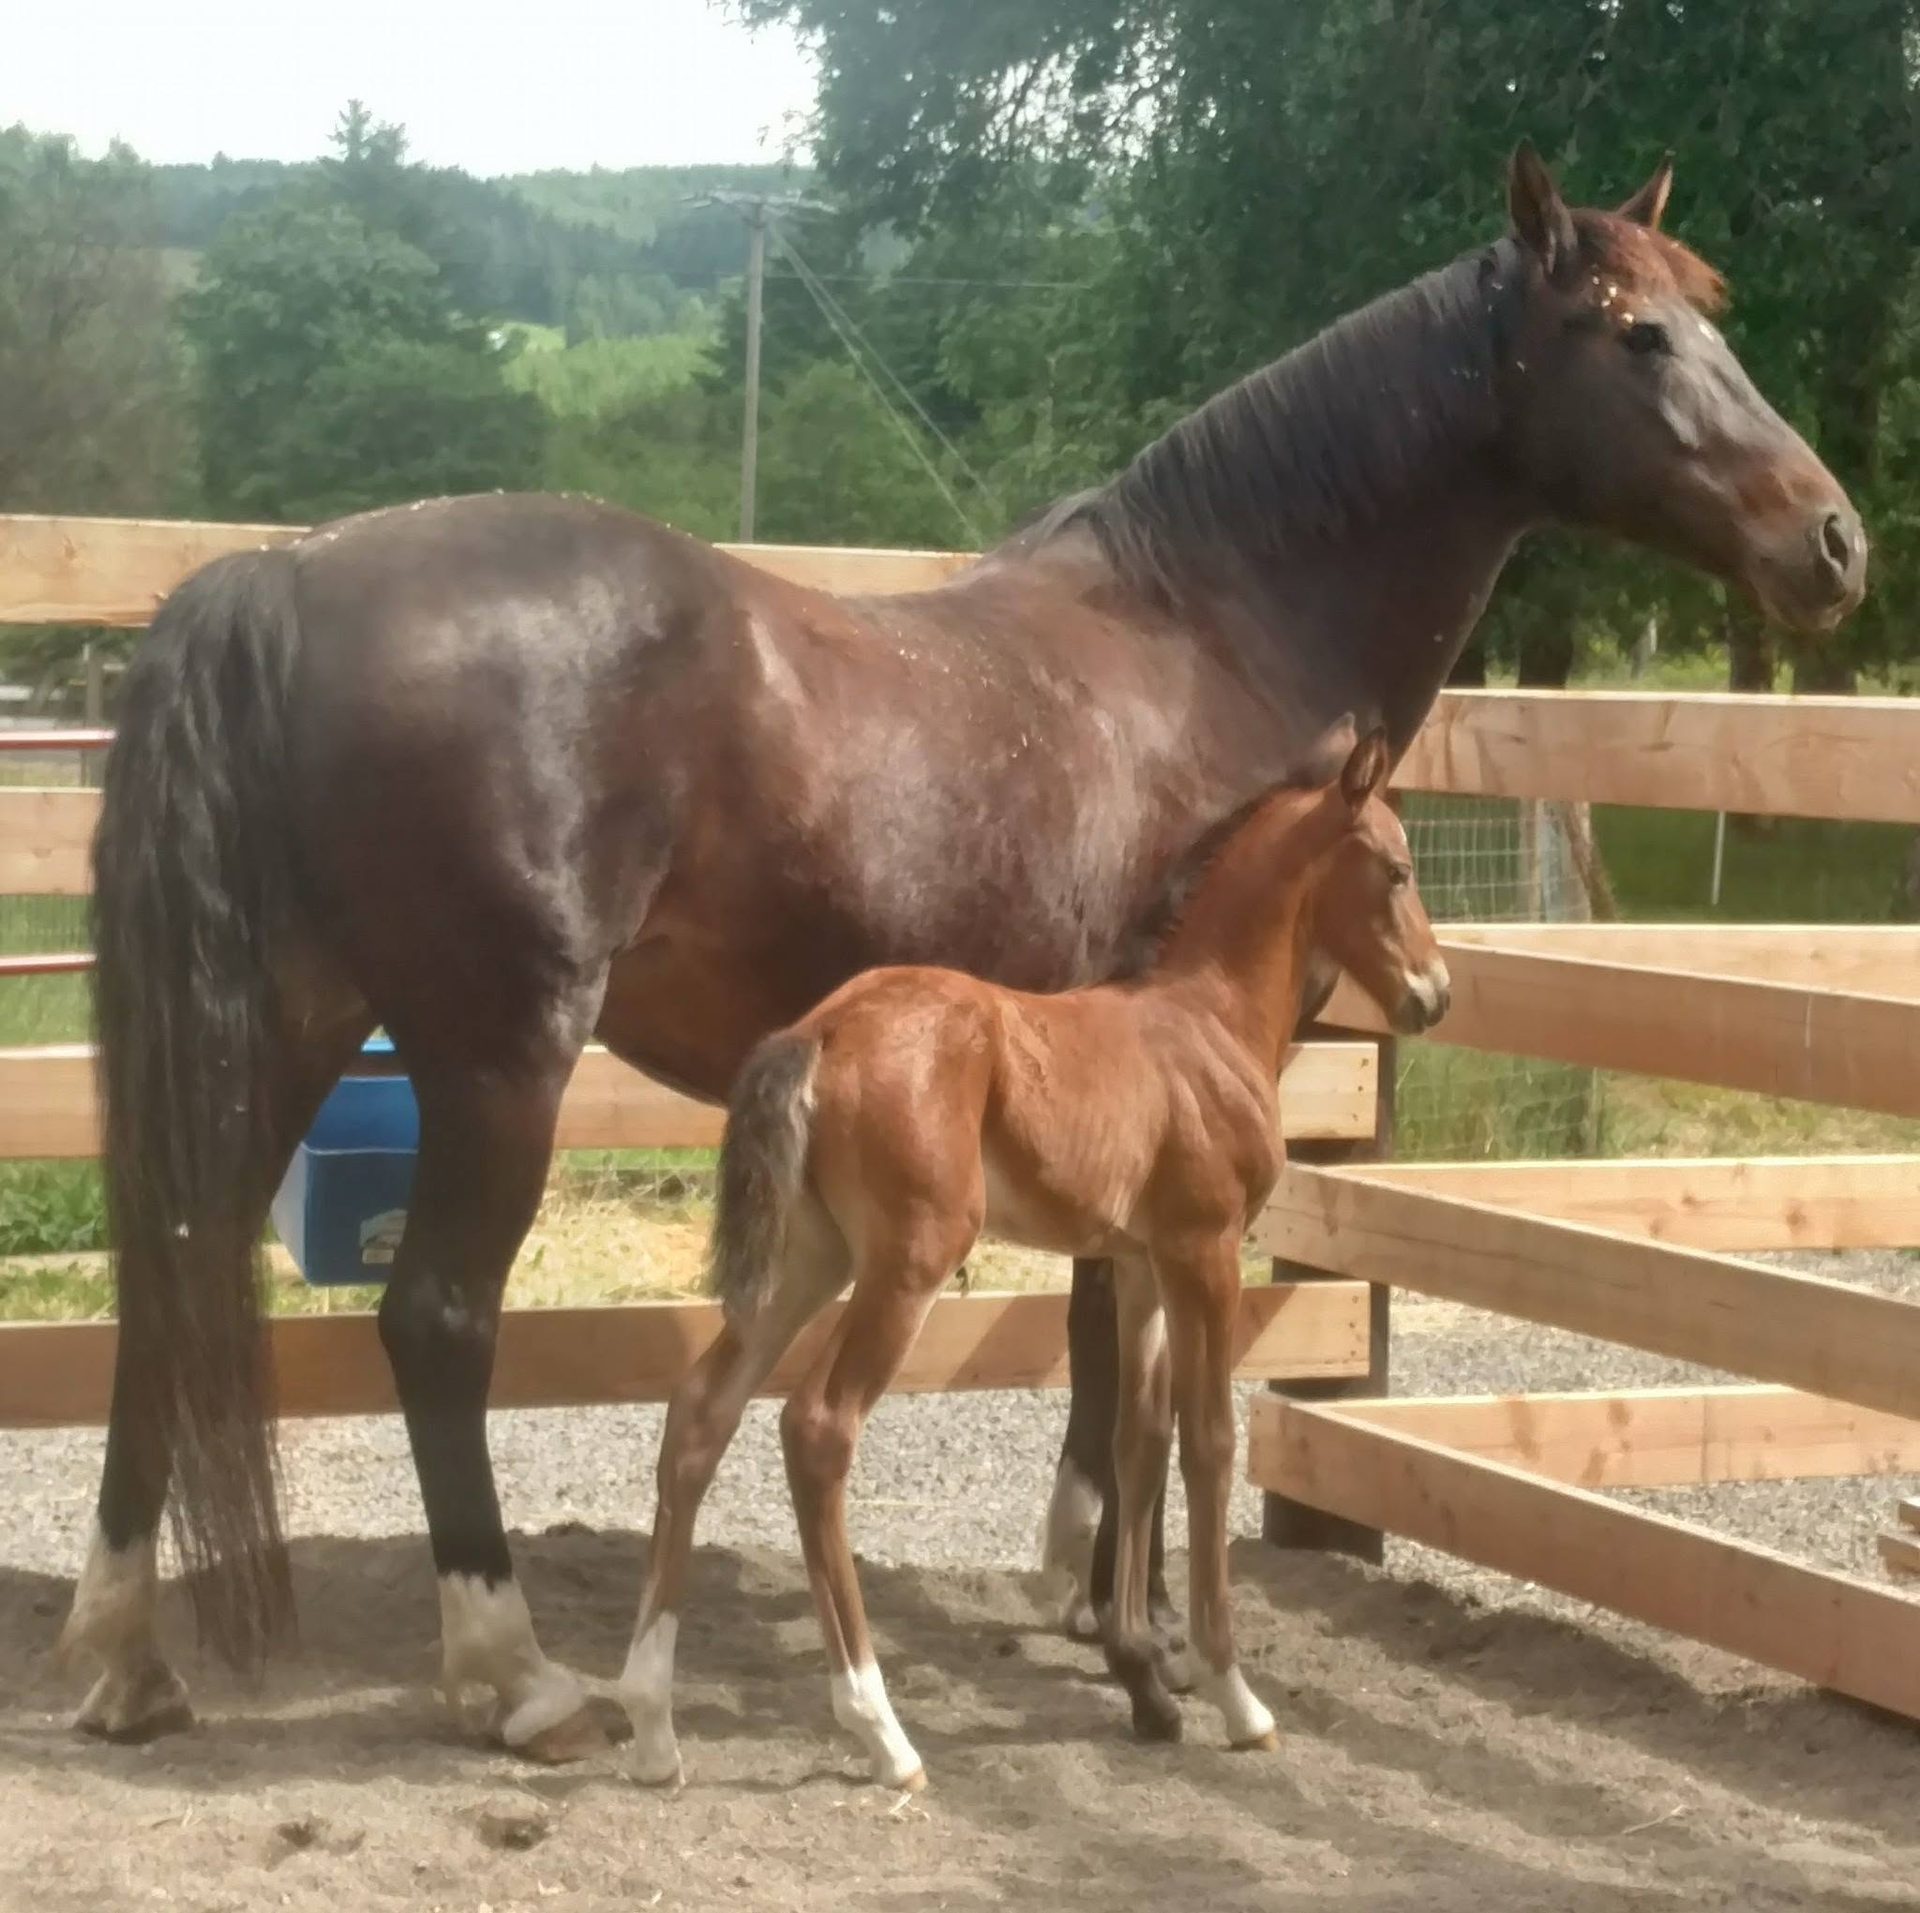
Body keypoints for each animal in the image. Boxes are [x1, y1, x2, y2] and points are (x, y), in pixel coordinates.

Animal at [619, 728, 1443, 1789]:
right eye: (1397, 869)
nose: (1433, 994)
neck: (1205, 1021)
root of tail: (822, 1030)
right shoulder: (1205, 1250)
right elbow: (1210, 1442)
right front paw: (1232, 1692)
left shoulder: (1138, 1263)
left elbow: (1139, 1440)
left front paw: (1141, 1674)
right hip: (907, 1263)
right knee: (817, 1427)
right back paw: (880, 1730)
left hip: (810, 1259)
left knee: (700, 1411)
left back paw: (652, 1724)